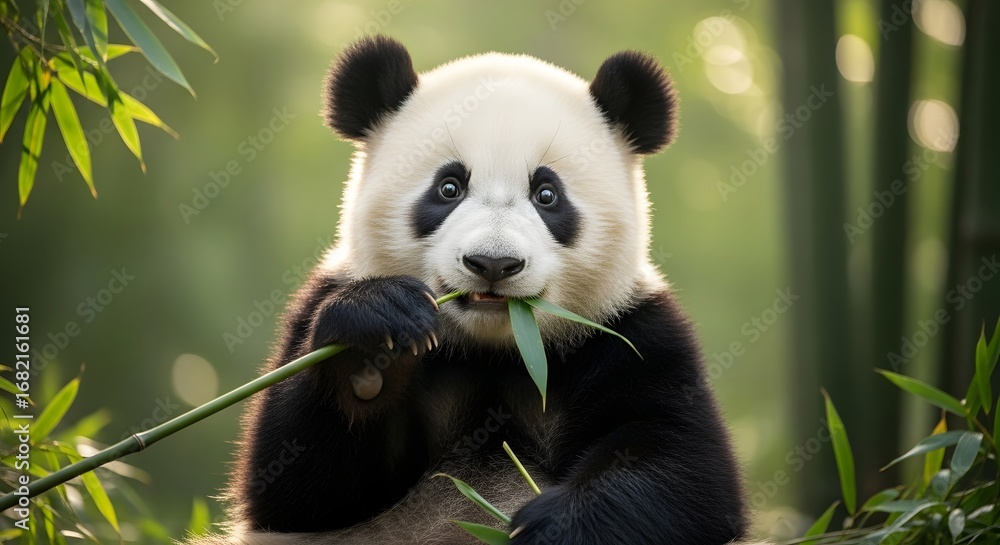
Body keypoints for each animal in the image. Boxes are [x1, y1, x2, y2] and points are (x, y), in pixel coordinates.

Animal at [189, 35, 758, 545]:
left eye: (547, 194)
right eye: (449, 188)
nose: (493, 263)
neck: (498, 351)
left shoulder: (630, 330)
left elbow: (680, 468)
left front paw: (549, 526)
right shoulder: (319, 304)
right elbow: (296, 485)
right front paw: (372, 347)